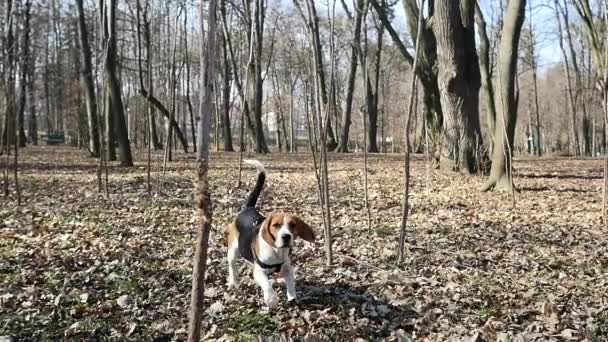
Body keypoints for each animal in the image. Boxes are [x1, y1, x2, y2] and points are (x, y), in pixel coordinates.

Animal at [226, 160, 316, 308]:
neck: (276, 250)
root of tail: (248, 209)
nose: (286, 236)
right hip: (233, 251)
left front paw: (292, 297)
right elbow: (266, 284)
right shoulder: (259, 272)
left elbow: (290, 282)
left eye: (293, 225)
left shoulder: (287, 268)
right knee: (232, 267)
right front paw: (271, 299)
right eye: (276, 225)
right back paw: (233, 283)